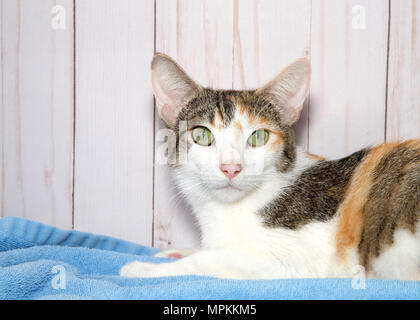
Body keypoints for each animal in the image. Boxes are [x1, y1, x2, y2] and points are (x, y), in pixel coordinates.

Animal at [119, 53, 420, 280]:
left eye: (259, 136)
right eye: (202, 135)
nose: (231, 168)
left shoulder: (299, 258)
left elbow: (212, 260)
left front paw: (143, 268)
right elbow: (210, 251)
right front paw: (176, 251)